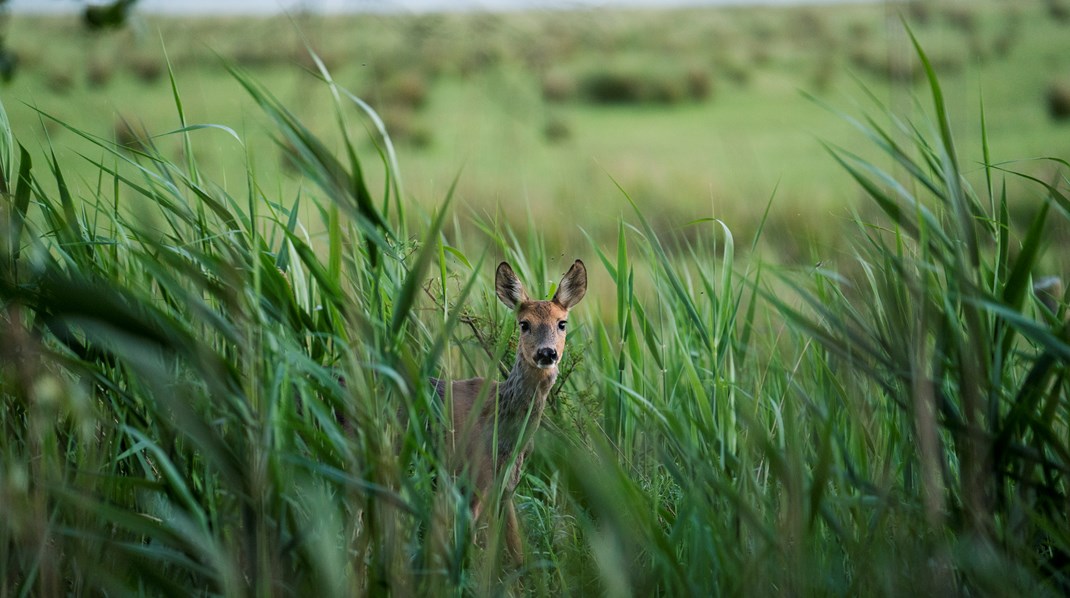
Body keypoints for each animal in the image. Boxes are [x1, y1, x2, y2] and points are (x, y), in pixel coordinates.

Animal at [430, 258, 590, 560]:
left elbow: (517, 550)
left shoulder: (507, 486)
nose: (547, 353)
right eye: (524, 324)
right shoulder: (471, 479)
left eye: (562, 323)